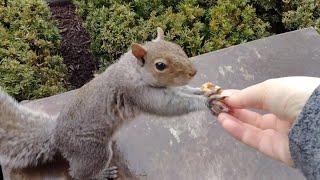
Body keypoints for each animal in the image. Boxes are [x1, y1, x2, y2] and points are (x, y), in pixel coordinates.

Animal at [0, 27, 228, 179]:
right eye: (160, 65)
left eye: (178, 47)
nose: (193, 72)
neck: (135, 70)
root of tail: (56, 136)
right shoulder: (137, 93)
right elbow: (169, 105)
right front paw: (206, 102)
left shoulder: (167, 88)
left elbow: (183, 91)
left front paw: (204, 90)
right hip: (92, 151)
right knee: (77, 174)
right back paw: (103, 174)